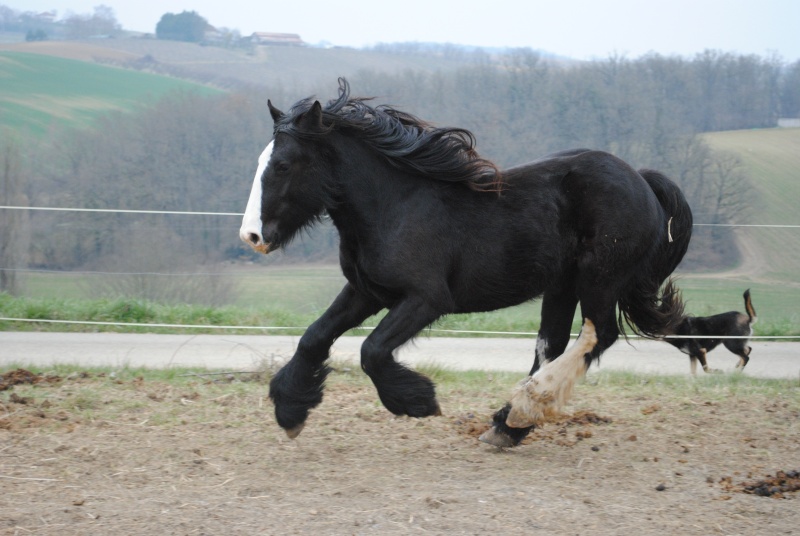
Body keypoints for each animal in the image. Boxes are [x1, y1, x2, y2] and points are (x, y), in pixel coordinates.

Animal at [239, 78, 692, 448]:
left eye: (283, 165)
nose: (252, 236)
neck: (394, 207)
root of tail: (641, 179)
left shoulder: (425, 299)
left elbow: (372, 350)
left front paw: (418, 401)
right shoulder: (366, 292)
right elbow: (314, 337)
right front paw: (290, 412)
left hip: (598, 279)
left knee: (598, 335)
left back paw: (523, 408)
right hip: (561, 285)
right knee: (552, 345)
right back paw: (508, 425)